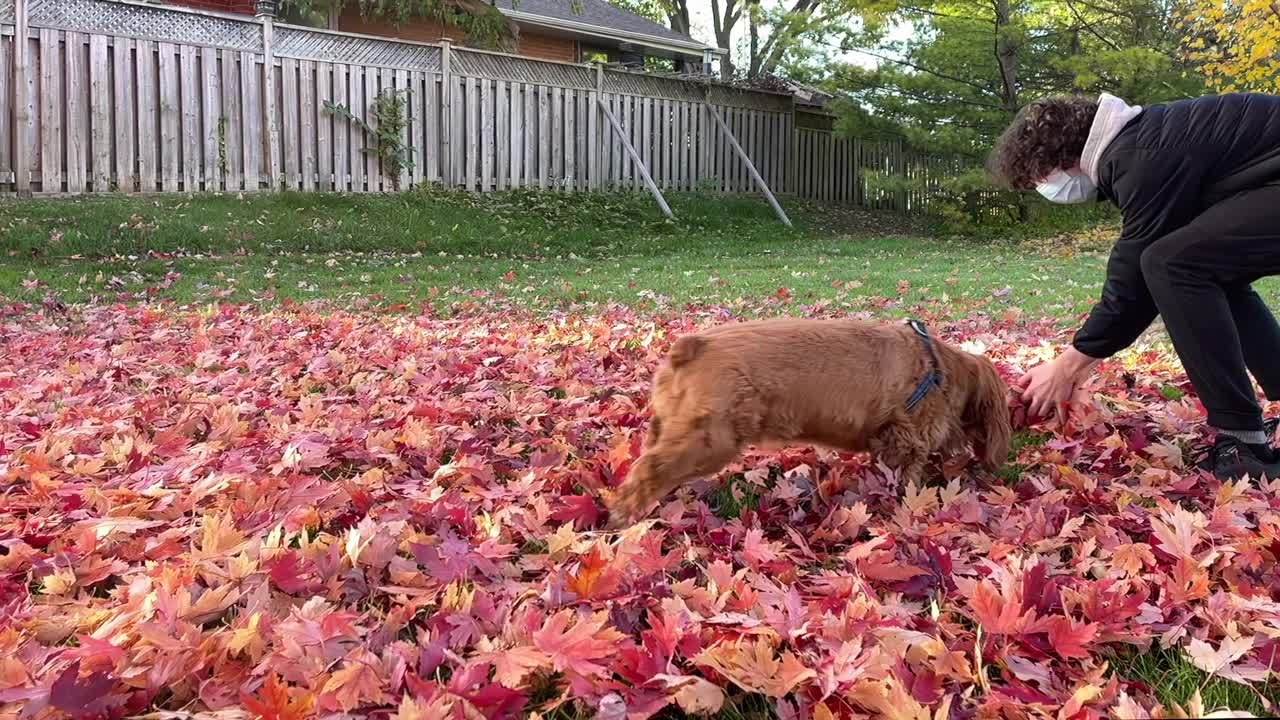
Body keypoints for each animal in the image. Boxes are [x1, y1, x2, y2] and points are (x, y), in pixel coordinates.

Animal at [604, 316, 1013, 525]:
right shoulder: (906, 440)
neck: (938, 366)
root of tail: (690, 346)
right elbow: (907, 478)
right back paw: (623, 519)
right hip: (709, 440)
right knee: (647, 472)